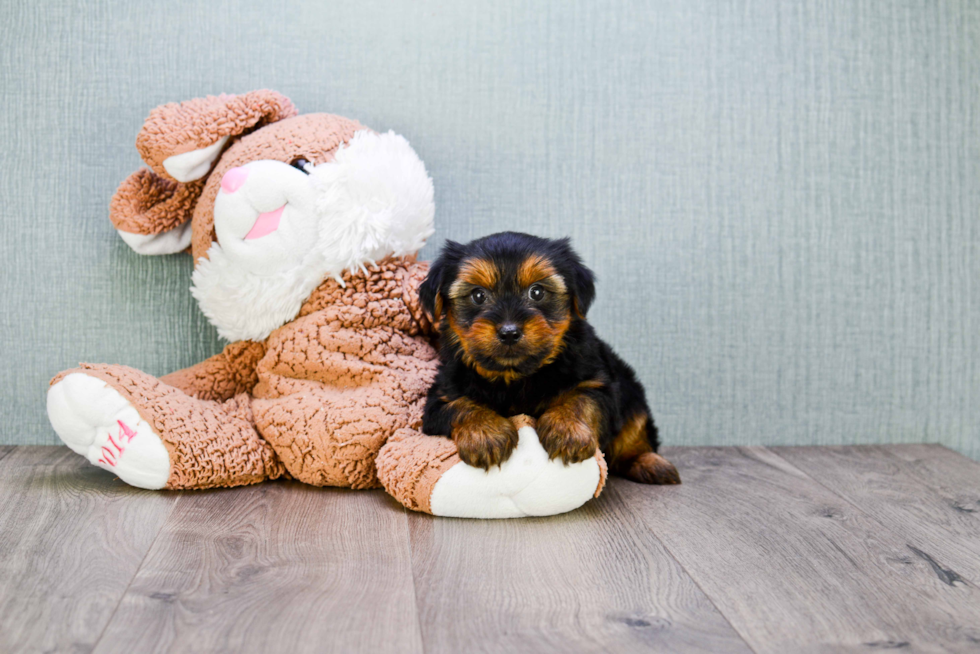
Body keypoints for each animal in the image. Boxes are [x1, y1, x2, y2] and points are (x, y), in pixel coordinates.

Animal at [422, 233, 680, 484]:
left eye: (537, 292)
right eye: (478, 295)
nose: (509, 331)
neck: (515, 375)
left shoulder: (599, 382)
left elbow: (583, 398)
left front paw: (567, 430)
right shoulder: (440, 397)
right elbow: (459, 405)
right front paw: (486, 433)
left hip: (631, 391)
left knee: (633, 431)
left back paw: (649, 463)